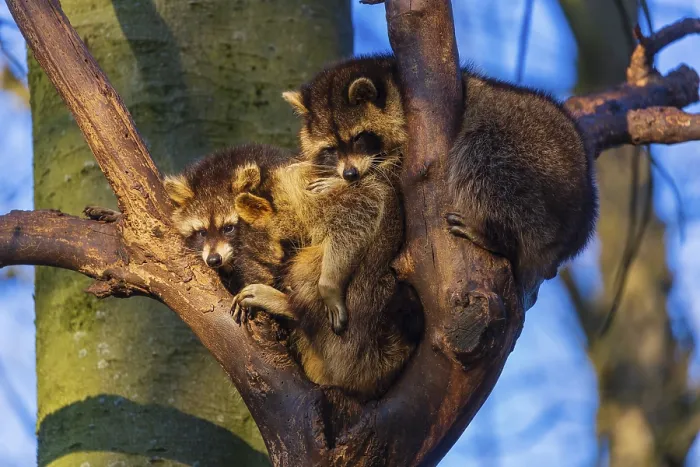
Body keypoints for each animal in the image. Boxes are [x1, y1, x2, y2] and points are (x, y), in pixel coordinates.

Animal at [282, 55, 598, 309]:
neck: (394, 85)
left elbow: (395, 173)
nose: (350, 175)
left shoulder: (415, 142)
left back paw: (499, 238)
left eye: (359, 138)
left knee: (481, 154)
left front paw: (344, 183)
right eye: (332, 149)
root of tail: (580, 222)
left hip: (535, 165)